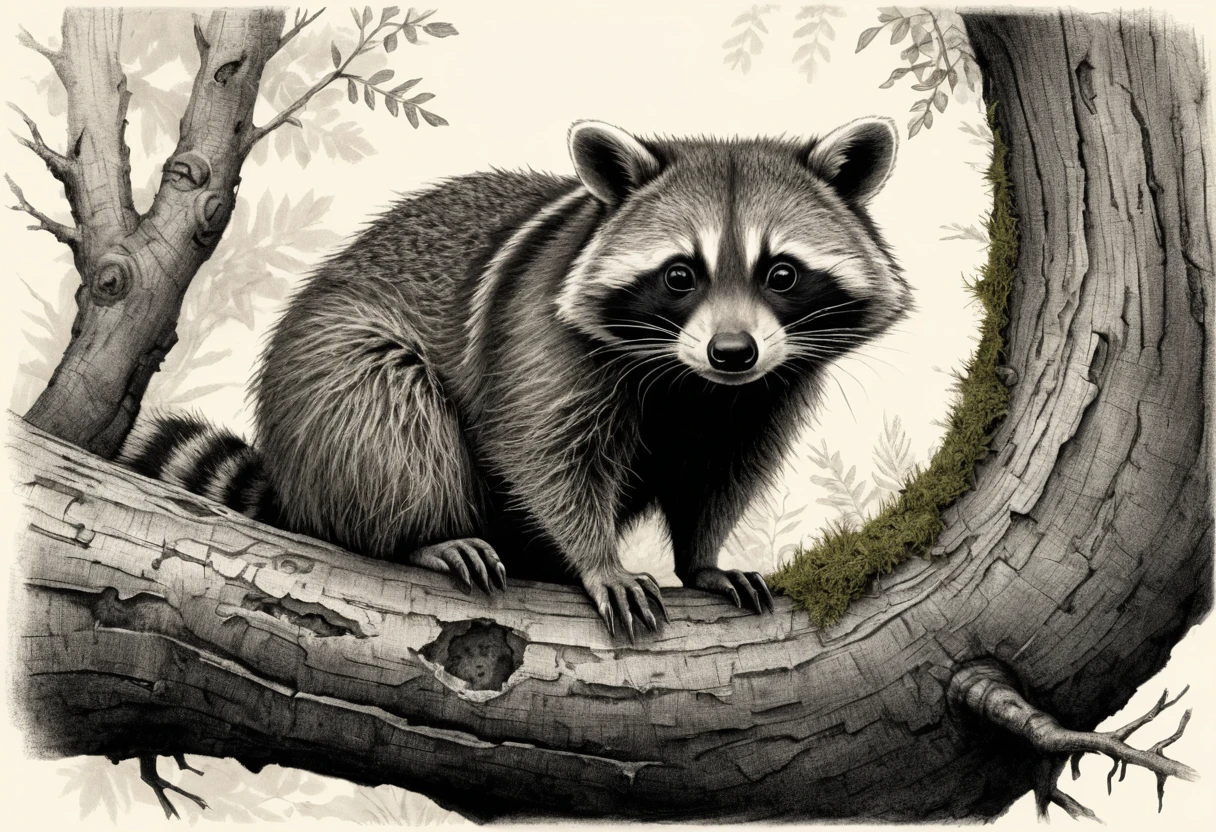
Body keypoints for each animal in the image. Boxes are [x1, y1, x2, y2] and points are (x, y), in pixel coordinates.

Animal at [120, 117, 910, 638]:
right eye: (681, 275)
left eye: (783, 273)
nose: (733, 352)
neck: (691, 383)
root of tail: (293, 479)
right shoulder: (540, 337)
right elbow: (541, 452)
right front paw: (598, 559)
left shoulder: (761, 393)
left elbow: (718, 475)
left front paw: (702, 558)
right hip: (327, 373)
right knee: (387, 415)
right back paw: (418, 536)